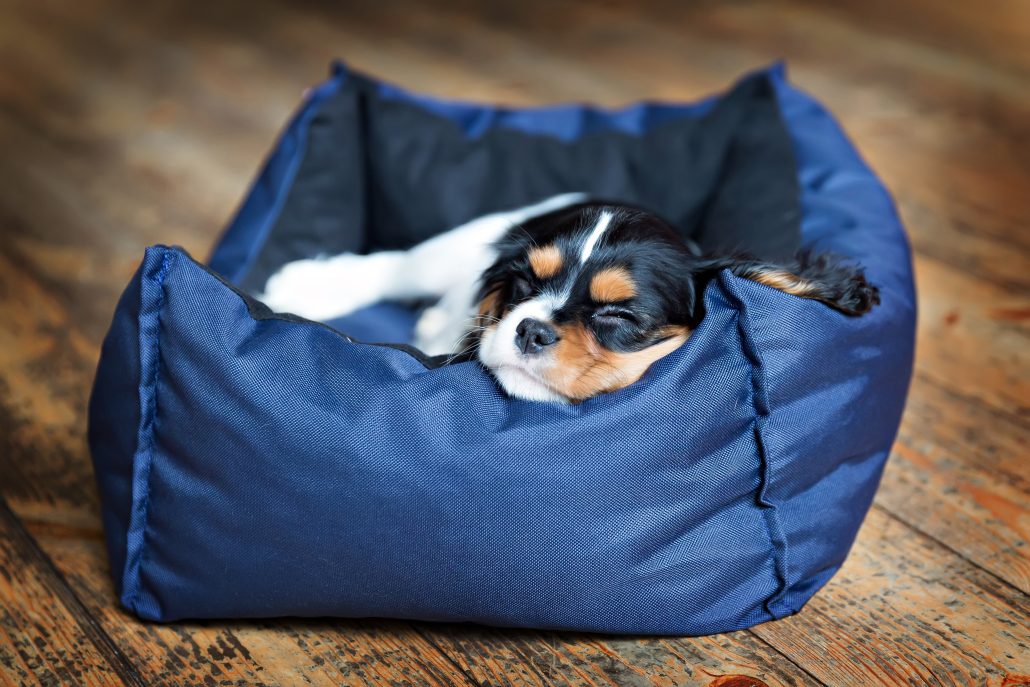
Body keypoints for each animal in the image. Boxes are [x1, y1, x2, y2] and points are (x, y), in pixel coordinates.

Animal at [261, 193, 881, 403]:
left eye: (617, 314)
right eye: (526, 285)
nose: (529, 328)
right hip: (462, 241)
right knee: (396, 267)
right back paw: (309, 285)